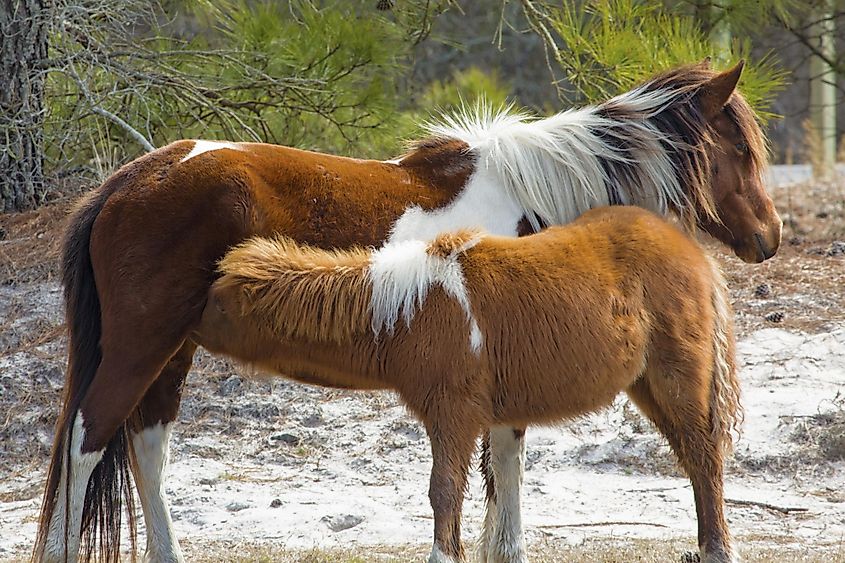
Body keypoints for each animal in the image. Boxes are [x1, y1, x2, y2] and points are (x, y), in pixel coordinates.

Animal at [190, 206, 740, 563]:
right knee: (694, 458)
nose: (187, 327)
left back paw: (716, 550)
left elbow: (445, 490)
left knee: (703, 457)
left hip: (677, 379)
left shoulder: (452, 416)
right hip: (647, 386)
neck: (410, 309)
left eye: (219, 302)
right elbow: (490, 490)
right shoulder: (485, 418)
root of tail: (694, 254)